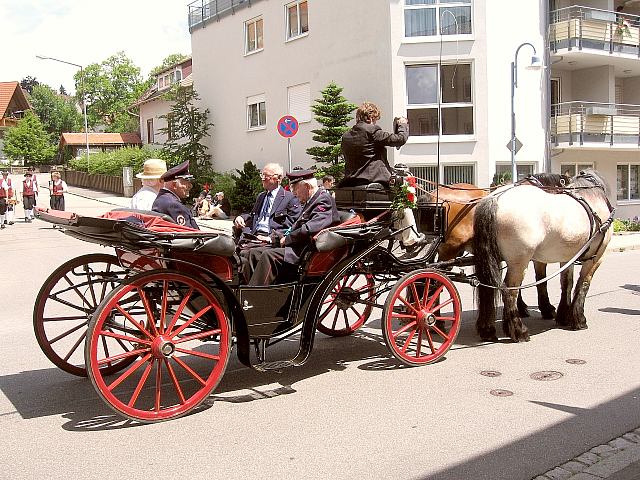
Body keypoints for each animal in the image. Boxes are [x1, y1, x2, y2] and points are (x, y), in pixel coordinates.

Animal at [472, 171, 612, 344]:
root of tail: (496, 198)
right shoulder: (596, 257)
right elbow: (583, 285)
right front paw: (578, 319)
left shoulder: (567, 258)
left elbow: (566, 283)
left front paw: (563, 316)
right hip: (519, 262)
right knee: (510, 291)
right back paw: (519, 331)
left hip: (495, 260)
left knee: (488, 288)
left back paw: (487, 330)